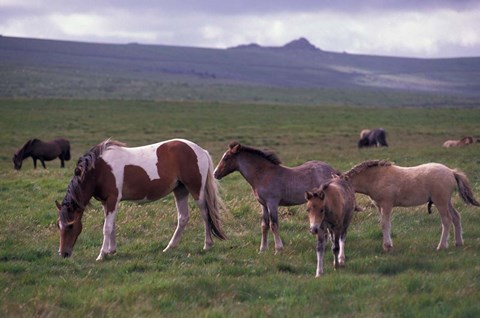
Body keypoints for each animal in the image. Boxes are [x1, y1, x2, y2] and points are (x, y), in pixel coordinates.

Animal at [54, 138, 227, 260]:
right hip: (180, 190)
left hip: (196, 191)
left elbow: (107, 228)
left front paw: (101, 255)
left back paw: (207, 245)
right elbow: (112, 226)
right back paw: (169, 247)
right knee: (183, 217)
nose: (63, 253)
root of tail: (200, 150)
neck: (99, 170)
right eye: (59, 225)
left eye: (70, 226)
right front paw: (111, 251)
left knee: (206, 215)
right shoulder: (107, 203)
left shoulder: (112, 200)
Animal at [344, 160, 478, 252]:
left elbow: (385, 224)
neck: (376, 177)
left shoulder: (387, 204)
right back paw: (458, 242)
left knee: (447, 220)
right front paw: (388, 245)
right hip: (447, 202)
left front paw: (387, 246)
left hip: (440, 202)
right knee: (456, 217)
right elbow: (383, 224)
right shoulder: (379, 206)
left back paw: (441, 246)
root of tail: (451, 171)